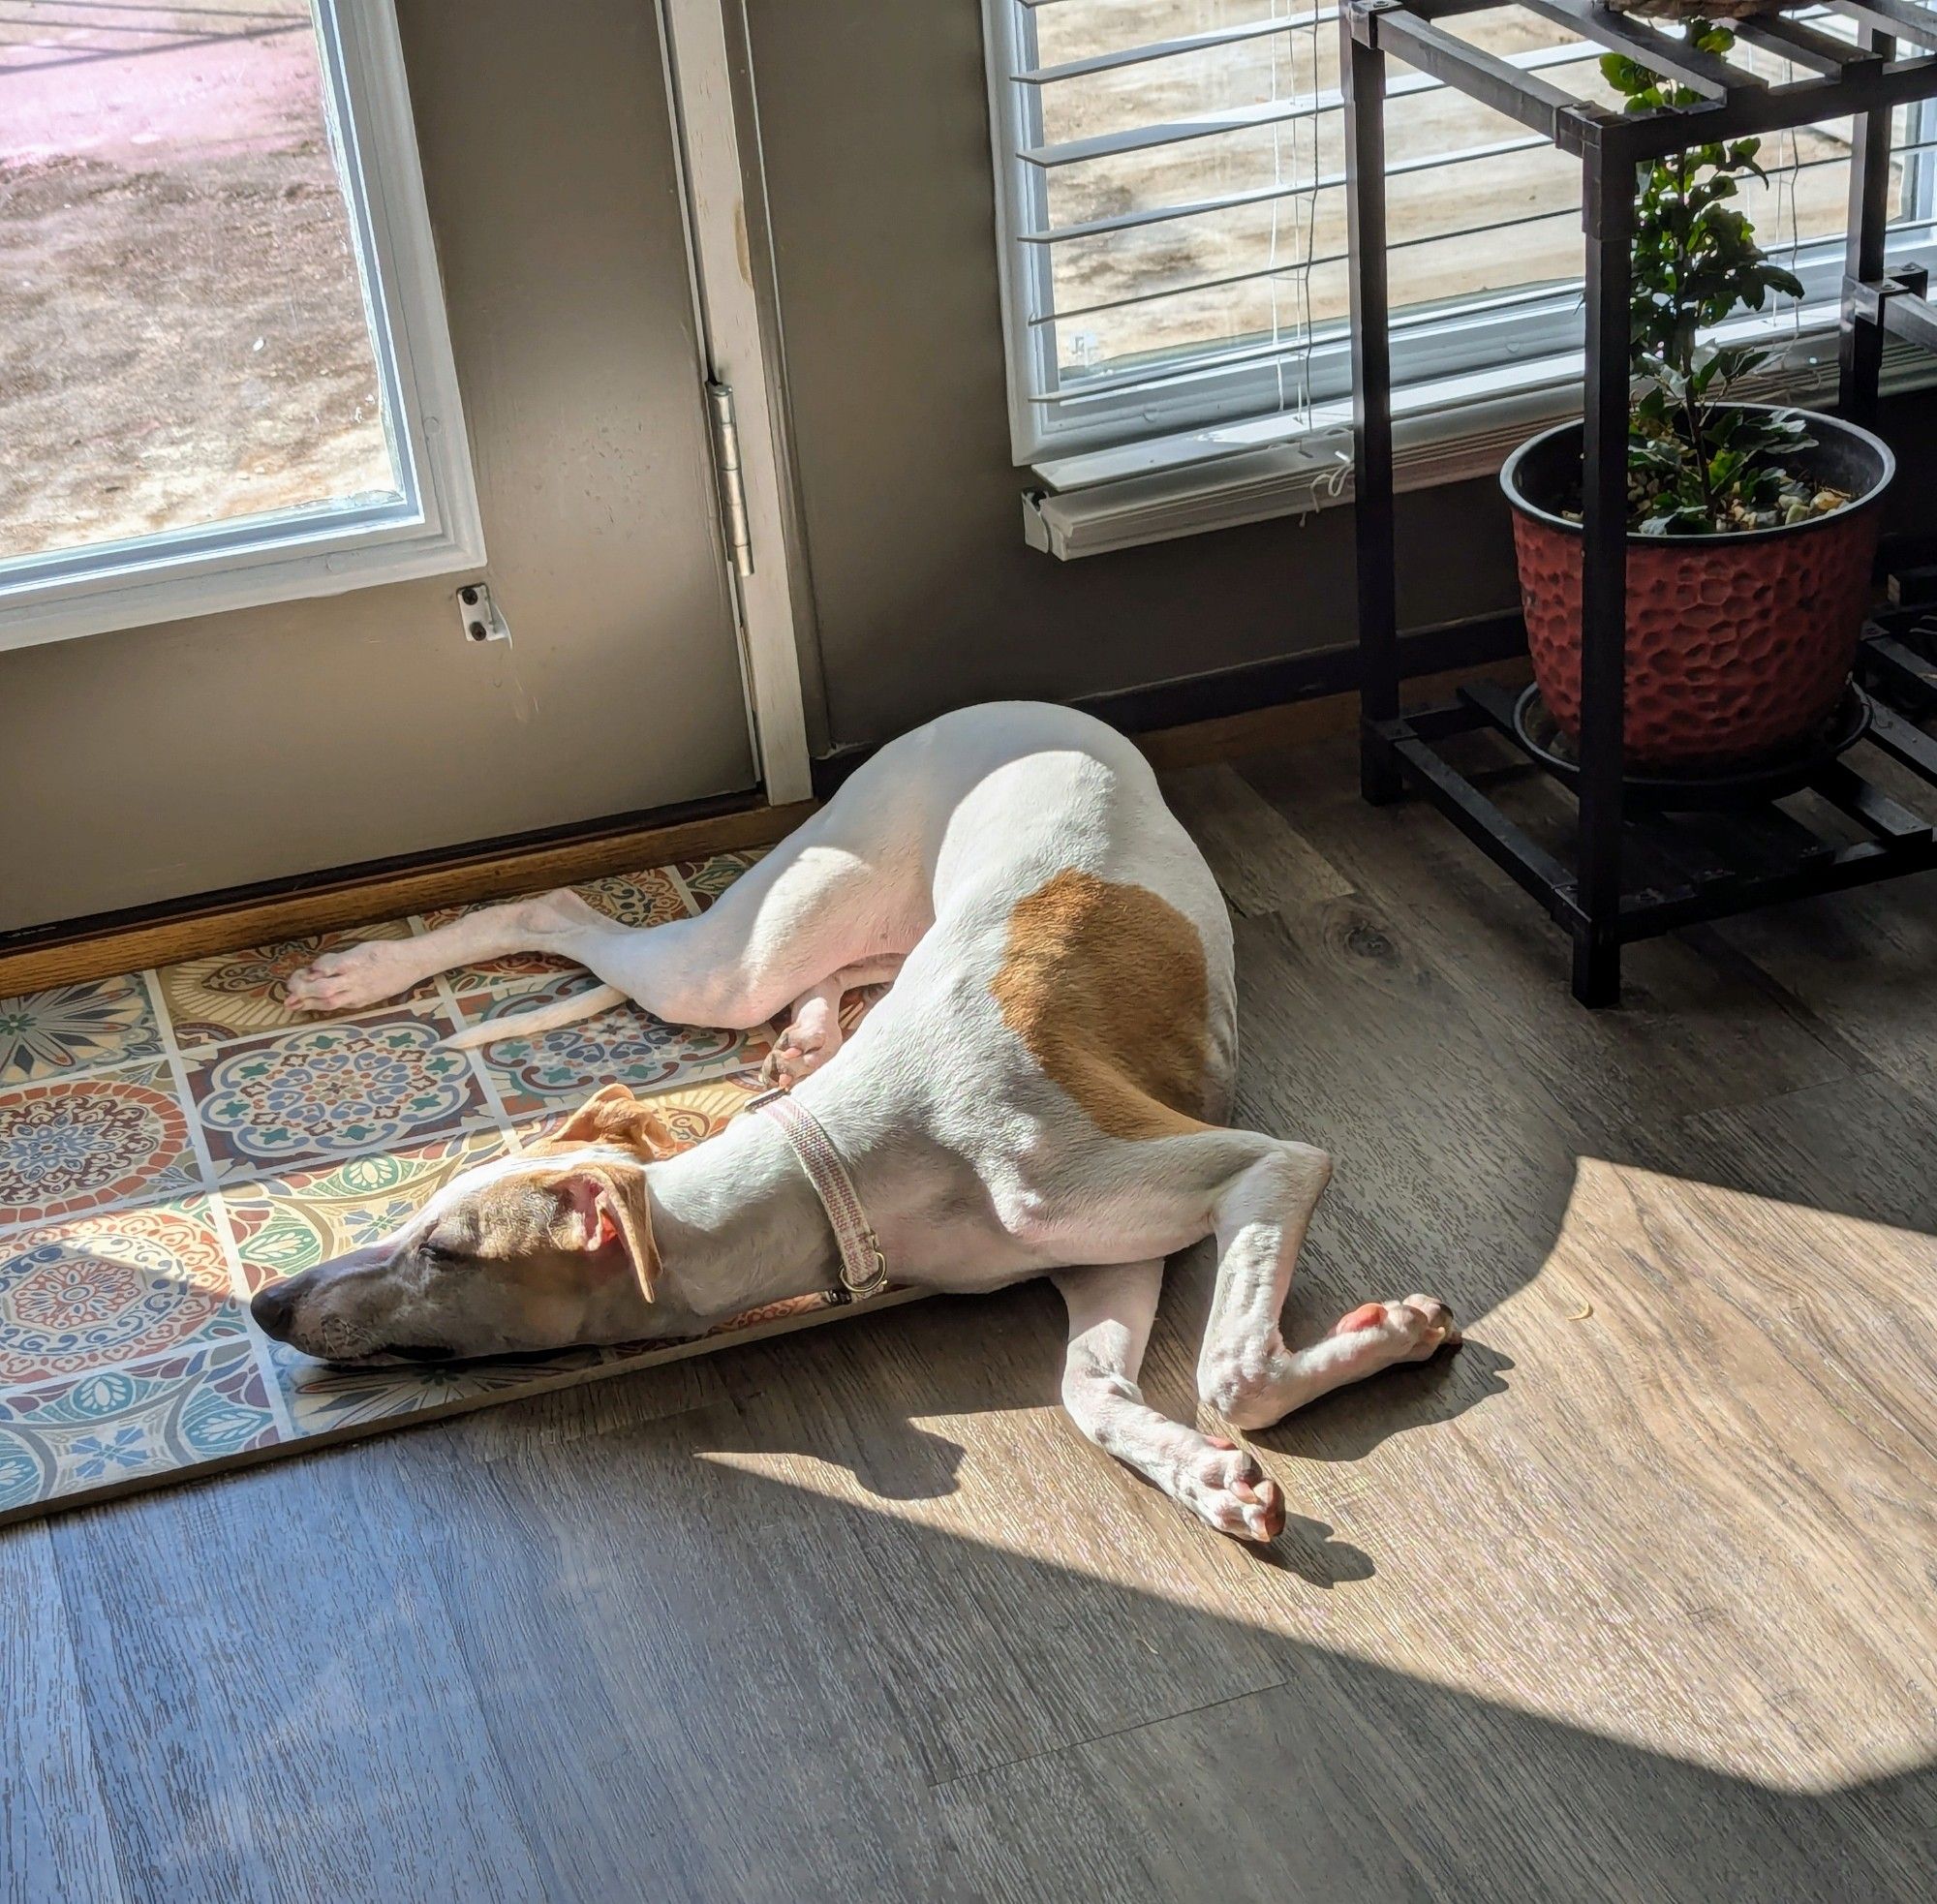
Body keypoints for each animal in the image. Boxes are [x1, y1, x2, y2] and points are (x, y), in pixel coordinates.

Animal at [265, 709, 1457, 1542]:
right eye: (417, 1216)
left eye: (443, 1249)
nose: (269, 1305)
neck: (847, 1165)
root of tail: (1015, 704)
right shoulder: (1111, 1253)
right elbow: (1102, 1390)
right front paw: (1214, 1468)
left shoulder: (1222, 1183)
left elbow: (1201, 1377)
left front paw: (1377, 1345)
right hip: (772, 943)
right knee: (599, 919)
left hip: (759, 947)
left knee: (564, 907)